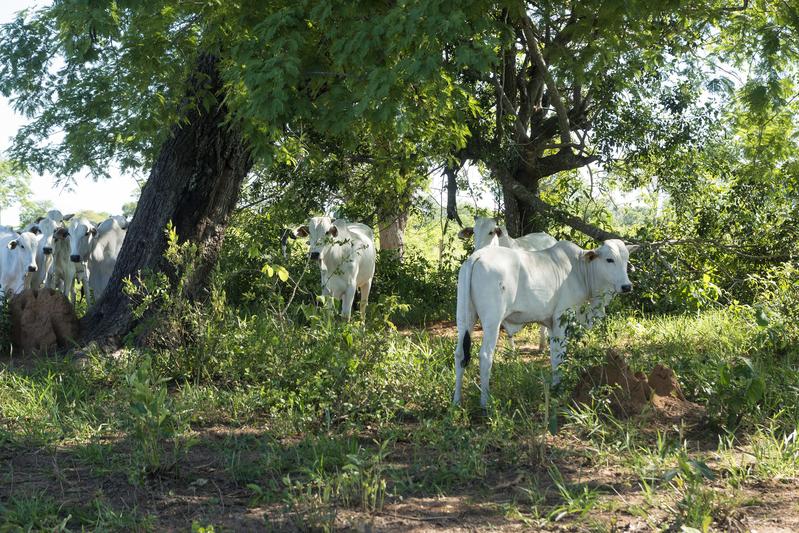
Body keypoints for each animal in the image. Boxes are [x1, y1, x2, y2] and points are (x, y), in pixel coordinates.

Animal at [456, 239, 636, 406]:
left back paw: (456, 401)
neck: (581, 268)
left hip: (465, 318)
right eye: (609, 259)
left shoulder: (551, 324)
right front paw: (559, 388)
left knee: (460, 354)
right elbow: (559, 355)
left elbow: (554, 354)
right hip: (492, 320)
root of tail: (477, 256)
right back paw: (485, 403)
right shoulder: (562, 318)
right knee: (486, 356)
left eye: (626, 259)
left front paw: (555, 386)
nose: (627, 286)